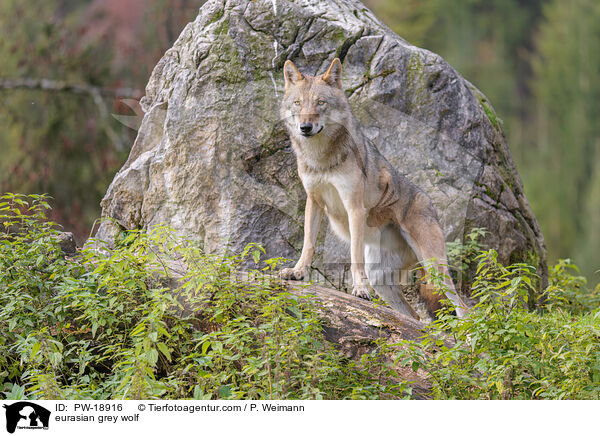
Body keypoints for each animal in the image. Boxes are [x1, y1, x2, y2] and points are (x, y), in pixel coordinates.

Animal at [276, 58, 468, 318]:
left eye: (320, 102)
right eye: (298, 103)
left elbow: (354, 255)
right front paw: (297, 272)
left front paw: (358, 289)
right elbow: (309, 244)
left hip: (434, 268)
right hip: (382, 280)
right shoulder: (314, 201)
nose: (305, 127)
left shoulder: (354, 207)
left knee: (464, 308)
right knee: (415, 317)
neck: (321, 158)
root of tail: (430, 203)